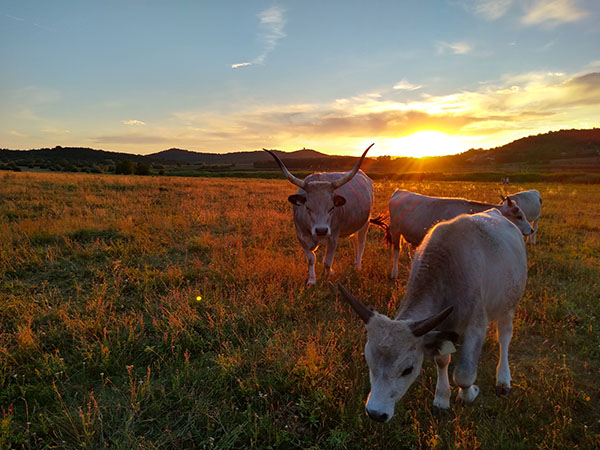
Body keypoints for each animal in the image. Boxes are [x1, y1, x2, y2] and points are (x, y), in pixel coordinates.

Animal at [264, 144, 372, 284]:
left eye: (332, 208)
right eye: (308, 207)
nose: (321, 230)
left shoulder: (333, 237)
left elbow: (327, 261)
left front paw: (326, 277)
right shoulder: (301, 236)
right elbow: (311, 259)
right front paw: (312, 280)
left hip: (366, 222)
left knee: (360, 243)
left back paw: (358, 266)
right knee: (355, 241)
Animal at [338, 207, 536, 422]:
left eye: (407, 369)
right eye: (369, 361)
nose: (375, 413)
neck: (447, 273)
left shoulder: (476, 325)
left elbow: (464, 374)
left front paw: (469, 393)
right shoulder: (440, 327)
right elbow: (442, 360)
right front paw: (442, 398)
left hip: (508, 305)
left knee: (504, 337)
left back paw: (503, 378)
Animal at [382, 189, 532, 278]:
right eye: (519, 216)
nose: (531, 230)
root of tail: (399, 192)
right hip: (395, 230)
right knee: (396, 251)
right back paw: (394, 273)